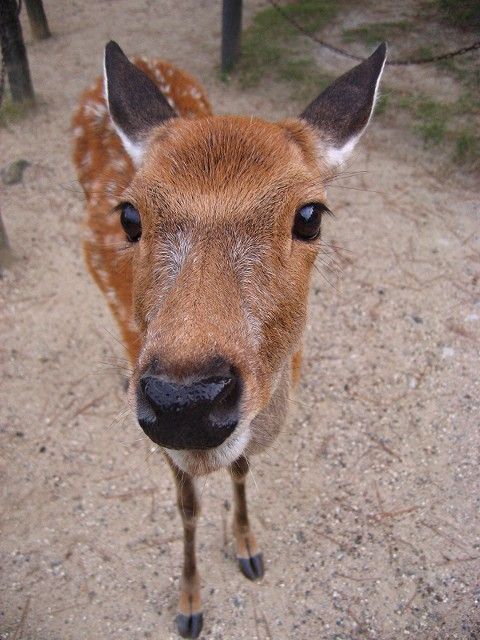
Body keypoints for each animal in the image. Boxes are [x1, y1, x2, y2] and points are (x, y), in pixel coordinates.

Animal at [72, 40, 386, 638]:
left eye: (310, 215)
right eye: (129, 215)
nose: (185, 402)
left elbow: (241, 469)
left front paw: (247, 548)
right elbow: (187, 507)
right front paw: (190, 603)